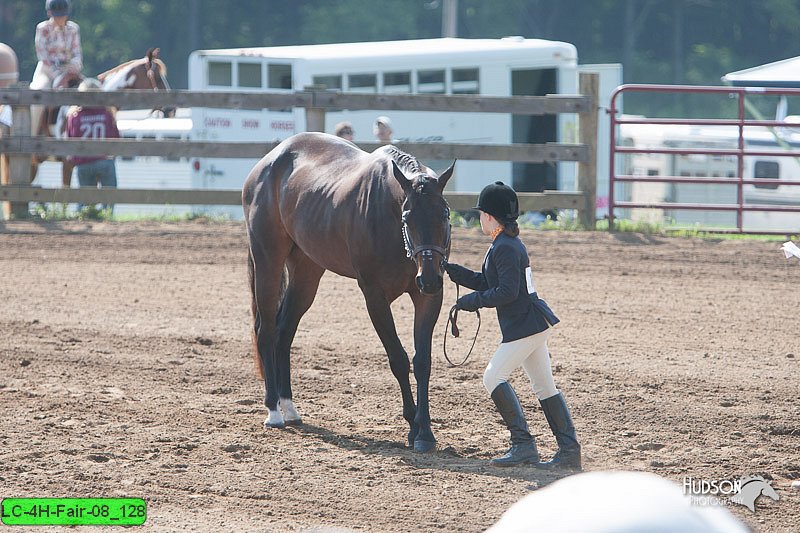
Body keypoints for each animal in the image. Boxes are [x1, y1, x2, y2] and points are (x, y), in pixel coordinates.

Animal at [242, 131, 456, 450]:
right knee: (266, 330)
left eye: (444, 214)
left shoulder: (427, 298)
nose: (429, 278)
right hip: (268, 259)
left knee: (284, 331)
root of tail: (268, 162)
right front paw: (412, 425)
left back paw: (289, 407)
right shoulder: (374, 296)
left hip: (307, 272)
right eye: (407, 218)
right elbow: (398, 358)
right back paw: (273, 411)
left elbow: (422, 362)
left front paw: (425, 432)